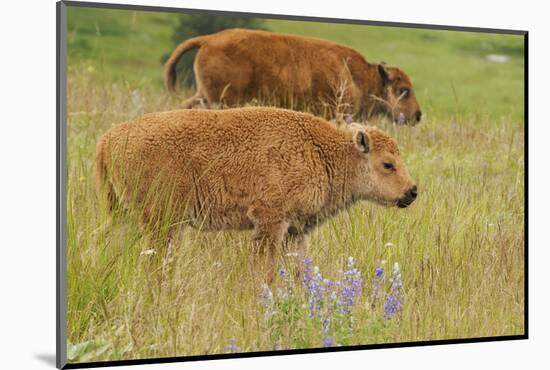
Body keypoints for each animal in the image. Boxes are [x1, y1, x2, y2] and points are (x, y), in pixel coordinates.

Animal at [98, 108, 418, 282]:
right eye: (387, 163)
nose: (412, 191)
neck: (322, 153)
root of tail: (108, 139)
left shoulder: (294, 230)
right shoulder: (269, 222)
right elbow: (265, 269)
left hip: (125, 215)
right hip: (161, 221)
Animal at [166, 28, 424, 124]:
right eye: (404, 90)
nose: (417, 115)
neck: (355, 76)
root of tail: (208, 39)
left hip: (203, 96)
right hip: (223, 101)